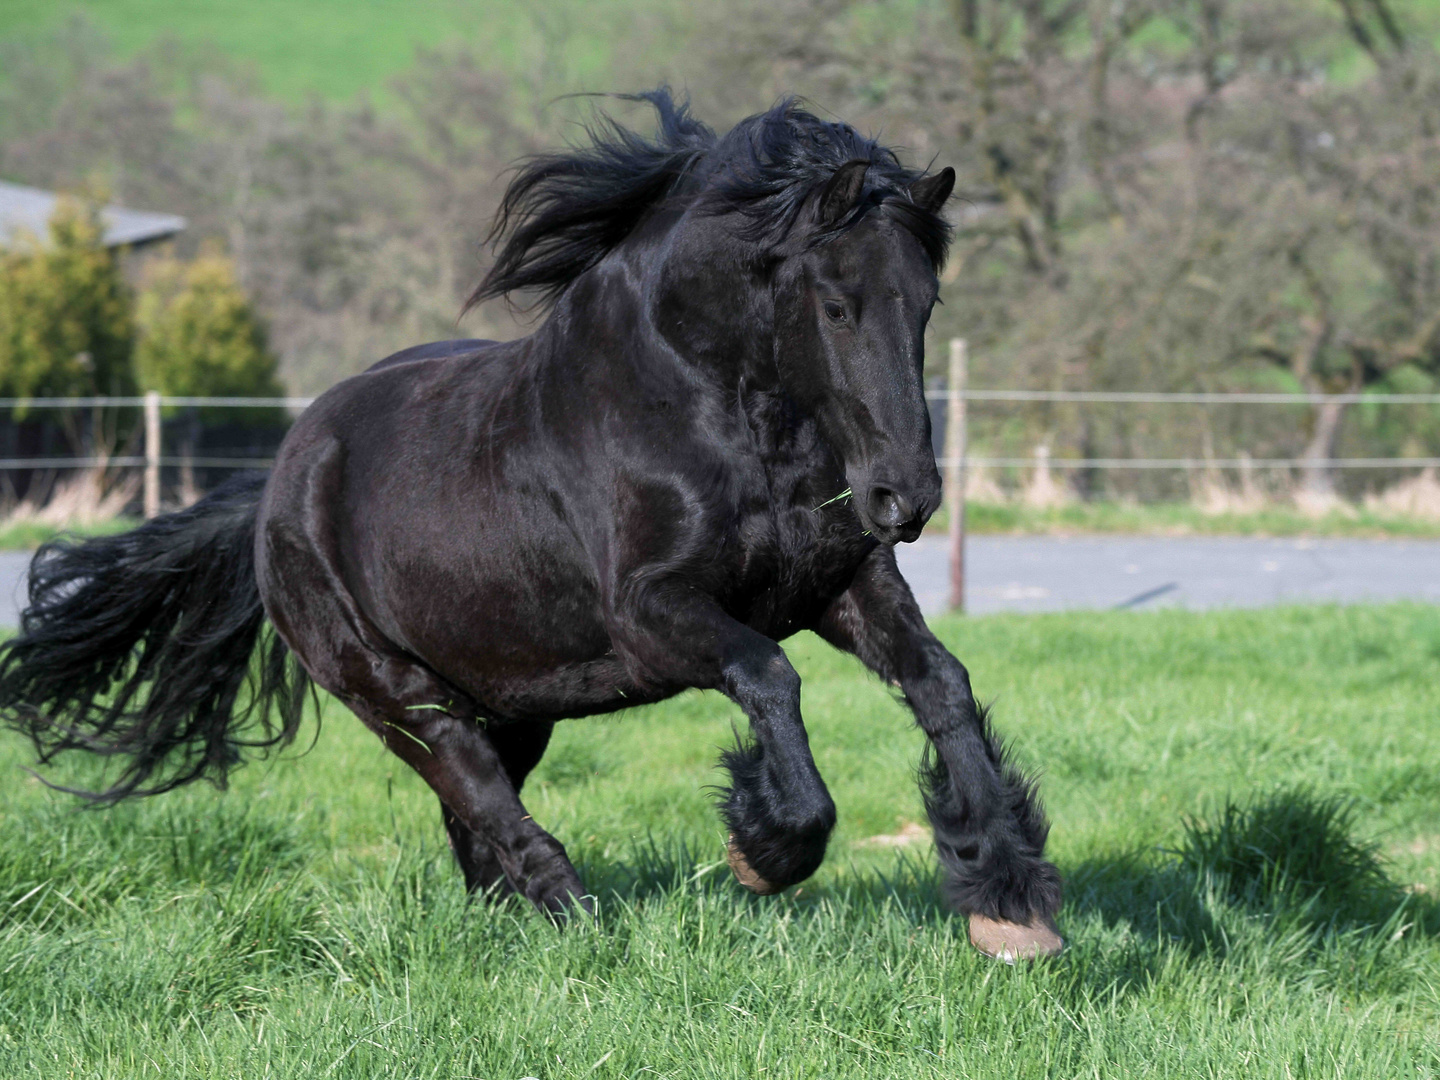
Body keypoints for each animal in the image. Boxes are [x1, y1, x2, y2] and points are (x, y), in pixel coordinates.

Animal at [0, 91, 1059, 956]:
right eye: (837, 306)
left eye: (926, 304)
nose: (904, 499)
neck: (706, 410)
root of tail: (275, 484)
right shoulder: (654, 614)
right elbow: (769, 675)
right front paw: (765, 848)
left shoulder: (842, 586)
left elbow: (940, 681)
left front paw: (1008, 897)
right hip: (394, 692)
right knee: (481, 797)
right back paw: (576, 920)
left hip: (515, 699)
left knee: (474, 824)